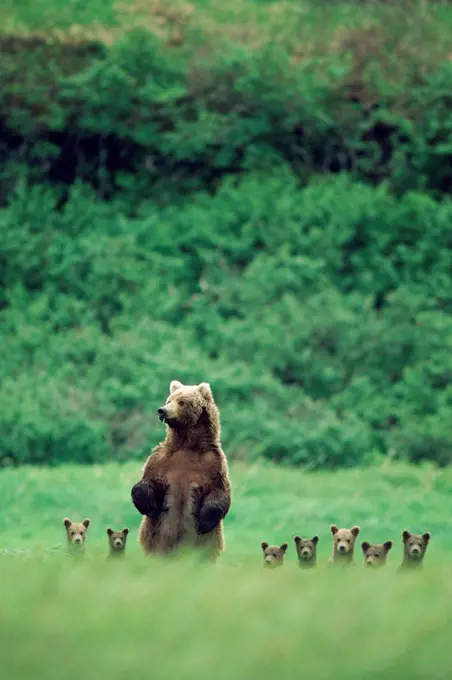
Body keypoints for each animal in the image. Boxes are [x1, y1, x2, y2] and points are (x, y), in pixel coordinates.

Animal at [130, 380, 230, 560]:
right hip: (157, 536)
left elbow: (219, 492)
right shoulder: (163, 459)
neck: (187, 444)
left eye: (182, 402)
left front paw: (205, 520)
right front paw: (147, 504)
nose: (162, 410)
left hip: (205, 543)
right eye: (169, 400)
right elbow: (149, 480)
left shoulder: (213, 463)